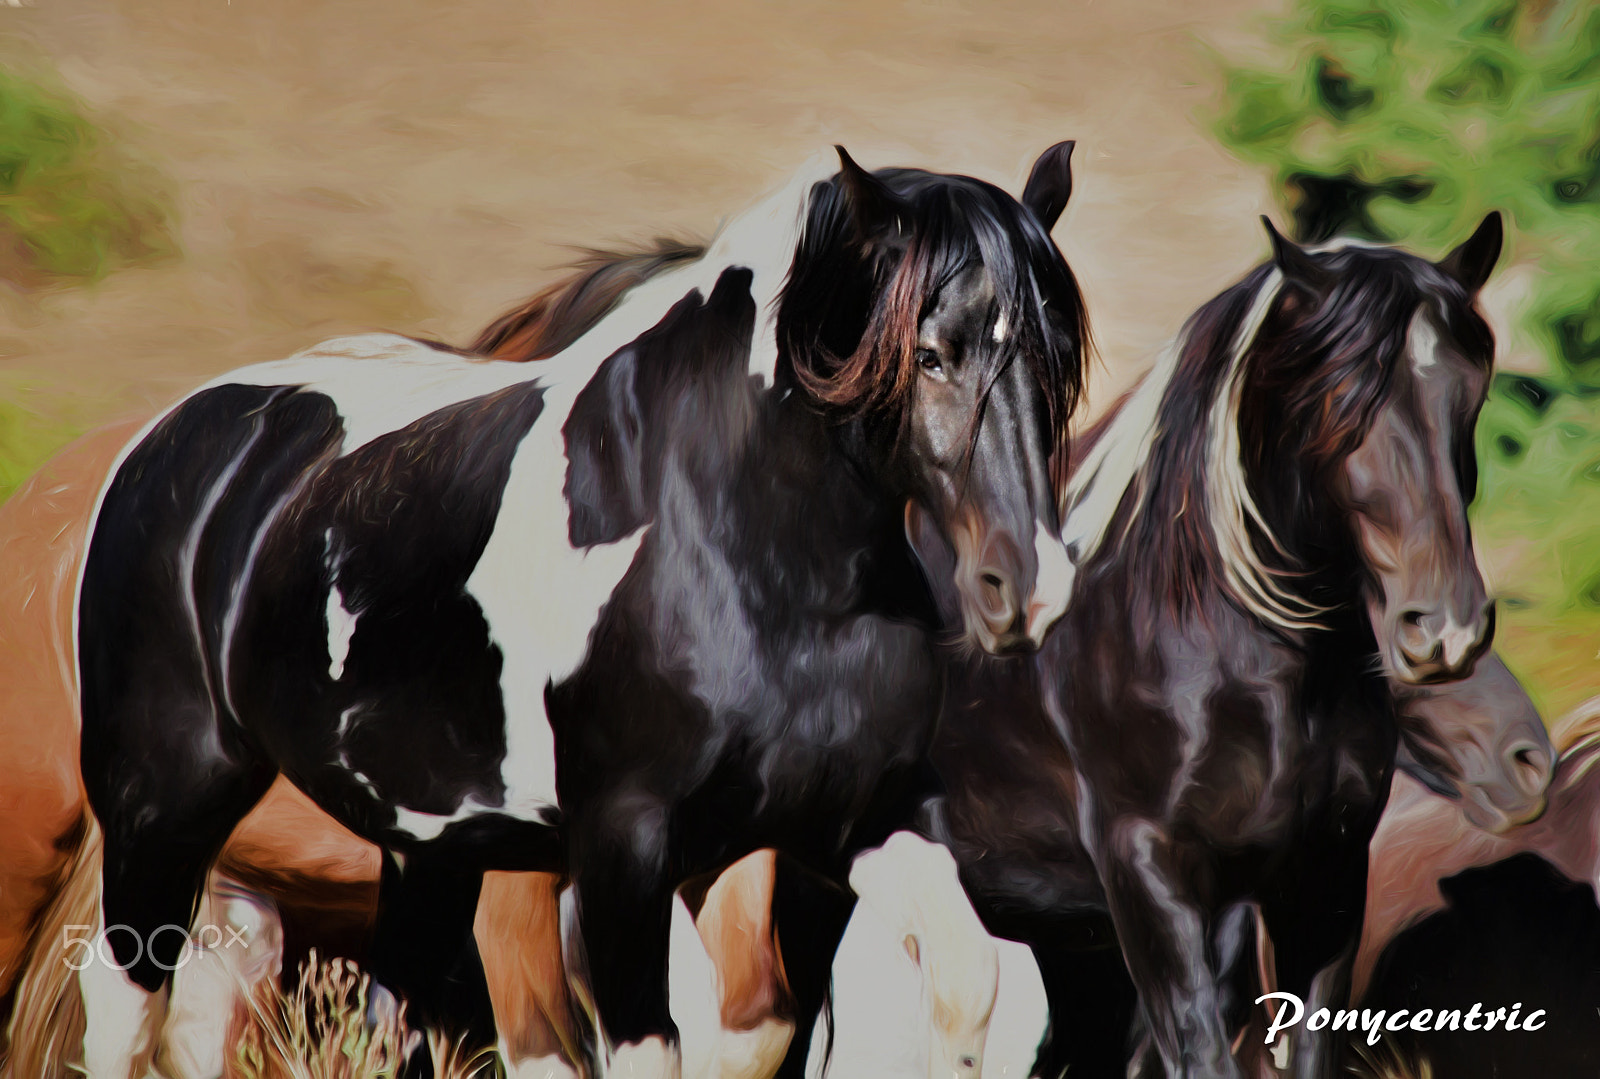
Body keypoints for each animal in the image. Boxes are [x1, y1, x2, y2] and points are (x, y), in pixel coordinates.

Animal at [64, 143, 1090, 1079]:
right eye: (929, 354)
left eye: (1058, 366)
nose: (1025, 587)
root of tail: (170, 439)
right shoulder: (622, 850)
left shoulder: (848, 821)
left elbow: (961, 979)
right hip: (164, 803)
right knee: (126, 1002)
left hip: (425, 851)